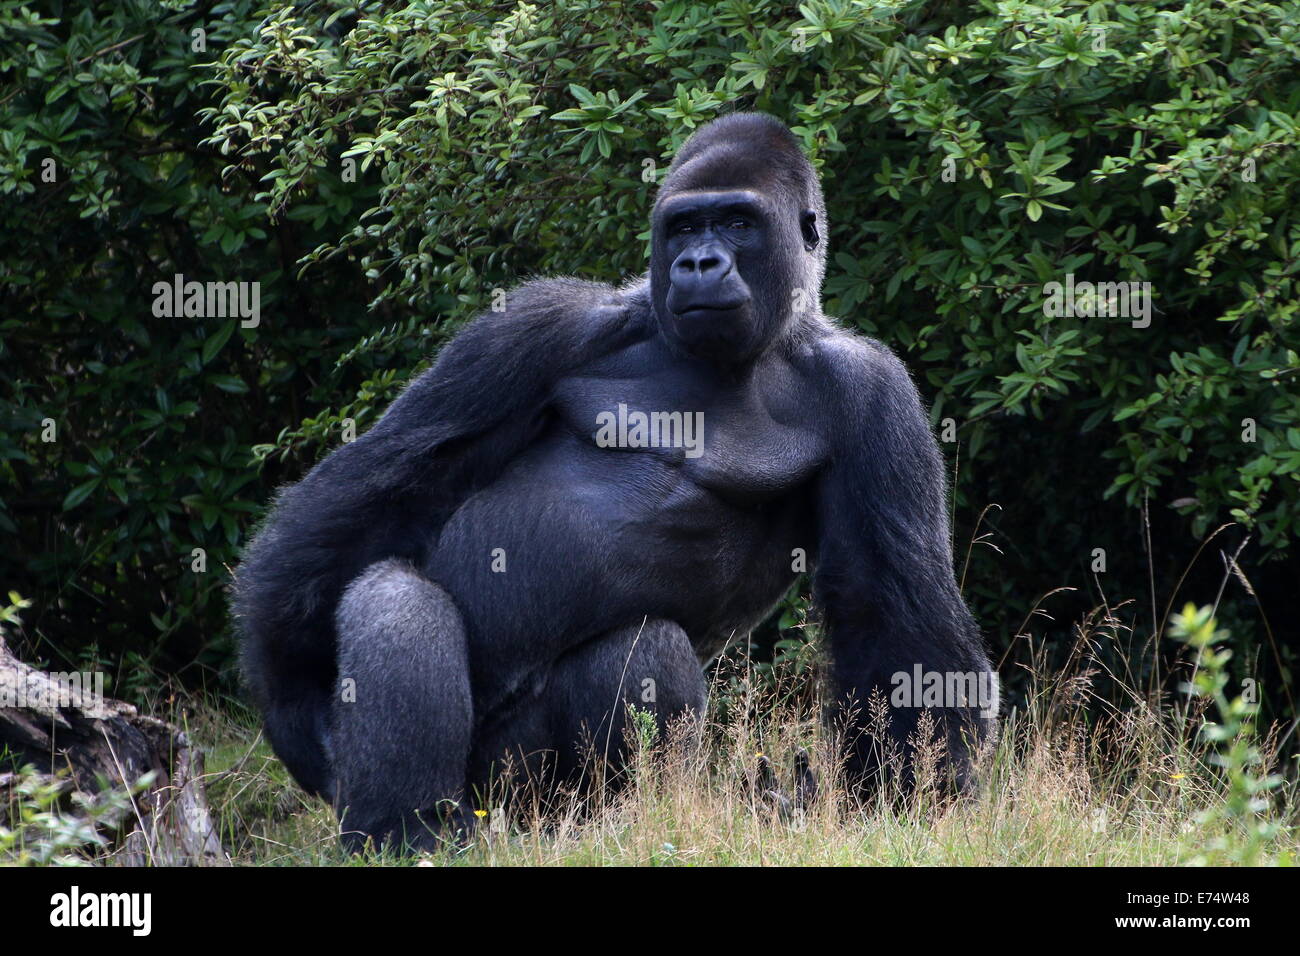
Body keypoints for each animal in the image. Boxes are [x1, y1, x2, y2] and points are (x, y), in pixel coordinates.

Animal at [233, 111, 998, 853]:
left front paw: (909, 795)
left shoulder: (875, 394)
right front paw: (293, 701)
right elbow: (390, 482)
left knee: (641, 653)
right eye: (684, 226)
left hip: (523, 801)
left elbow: (888, 610)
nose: (698, 262)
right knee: (397, 594)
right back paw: (403, 828)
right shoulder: (543, 324)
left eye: (738, 222)